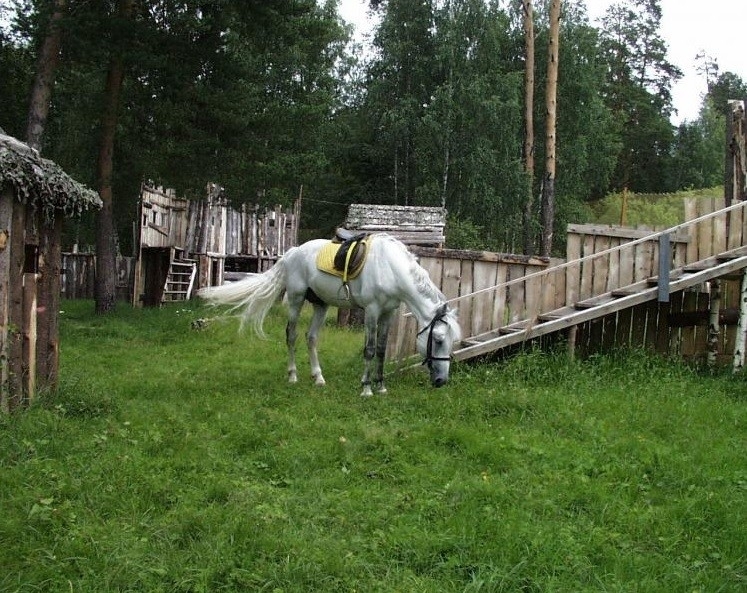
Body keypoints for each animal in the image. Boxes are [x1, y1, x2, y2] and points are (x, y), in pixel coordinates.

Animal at [197, 233, 461, 396]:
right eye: (438, 340)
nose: (442, 381)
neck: (390, 268)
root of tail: (292, 252)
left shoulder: (389, 313)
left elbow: (382, 350)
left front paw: (381, 386)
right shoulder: (372, 311)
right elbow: (370, 350)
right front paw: (366, 388)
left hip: (321, 305)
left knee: (311, 337)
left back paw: (318, 378)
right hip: (296, 299)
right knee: (291, 335)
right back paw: (293, 376)